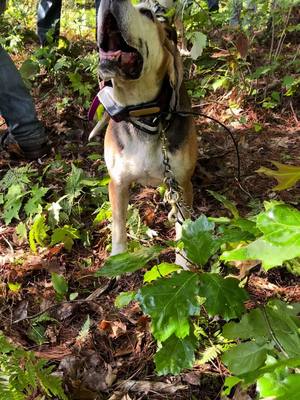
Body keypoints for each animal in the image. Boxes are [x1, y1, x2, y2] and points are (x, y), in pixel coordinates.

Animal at [93, 0, 197, 266]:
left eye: (147, 14)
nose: (109, 0)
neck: (143, 113)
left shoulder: (182, 185)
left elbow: (184, 229)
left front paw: (183, 265)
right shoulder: (117, 183)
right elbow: (119, 225)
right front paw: (118, 260)